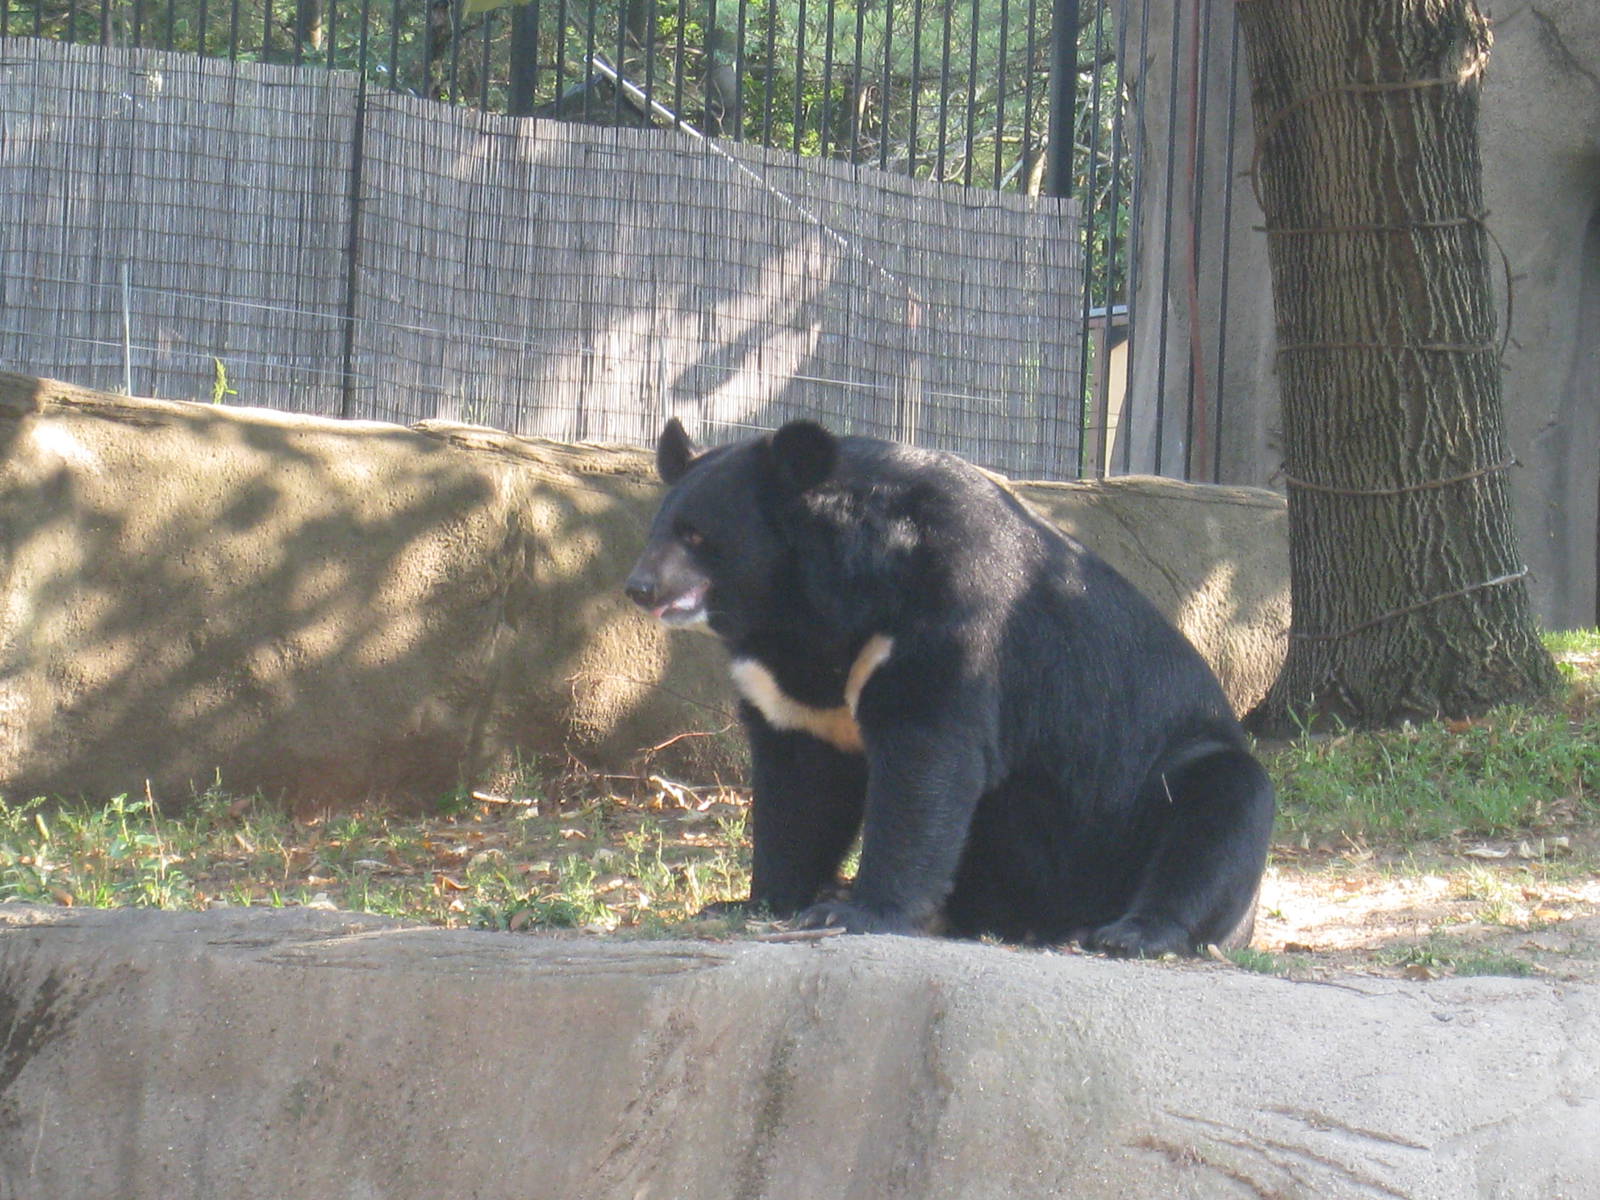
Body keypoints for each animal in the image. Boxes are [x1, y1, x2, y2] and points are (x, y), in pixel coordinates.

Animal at [624, 418, 1275, 955]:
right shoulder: (792, 689)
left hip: (1153, 788)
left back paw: (1128, 932)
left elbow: (927, 757)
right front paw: (754, 902)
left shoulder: (948, 610)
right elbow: (799, 786)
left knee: (1220, 816)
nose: (638, 587)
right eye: (657, 530)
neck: (807, 604)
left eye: (697, 536)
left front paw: (854, 913)